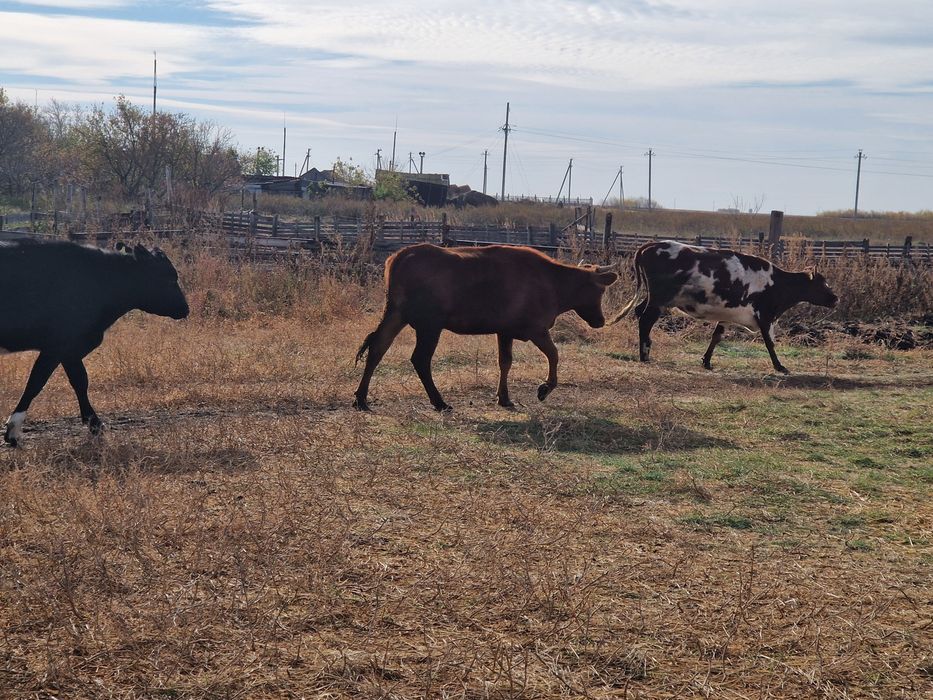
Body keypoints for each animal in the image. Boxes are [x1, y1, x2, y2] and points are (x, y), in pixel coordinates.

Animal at [0, 240, 189, 445]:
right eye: (169, 278)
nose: (185, 308)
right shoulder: (58, 344)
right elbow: (36, 382)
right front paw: (13, 430)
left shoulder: (70, 349)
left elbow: (80, 381)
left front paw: (95, 425)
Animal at [354, 243, 618, 411]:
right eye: (600, 290)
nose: (600, 321)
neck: (557, 288)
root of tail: (396, 258)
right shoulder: (536, 328)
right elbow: (554, 354)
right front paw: (545, 388)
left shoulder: (505, 330)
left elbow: (505, 362)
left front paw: (504, 397)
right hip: (429, 324)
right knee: (419, 359)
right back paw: (439, 402)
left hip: (396, 314)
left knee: (377, 347)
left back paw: (361, 398)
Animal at [609, 240, 837, 374]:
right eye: (822, 283)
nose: (835, 298)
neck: (777, 283)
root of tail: (651, 245)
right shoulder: (765, 316)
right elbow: (770, 344)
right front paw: (779, 366)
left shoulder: (729, 315)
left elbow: (716, 337)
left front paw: (706, 361)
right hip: (659, 300)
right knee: (645, 319)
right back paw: (644, 354)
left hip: (654, 298)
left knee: (639, 312)